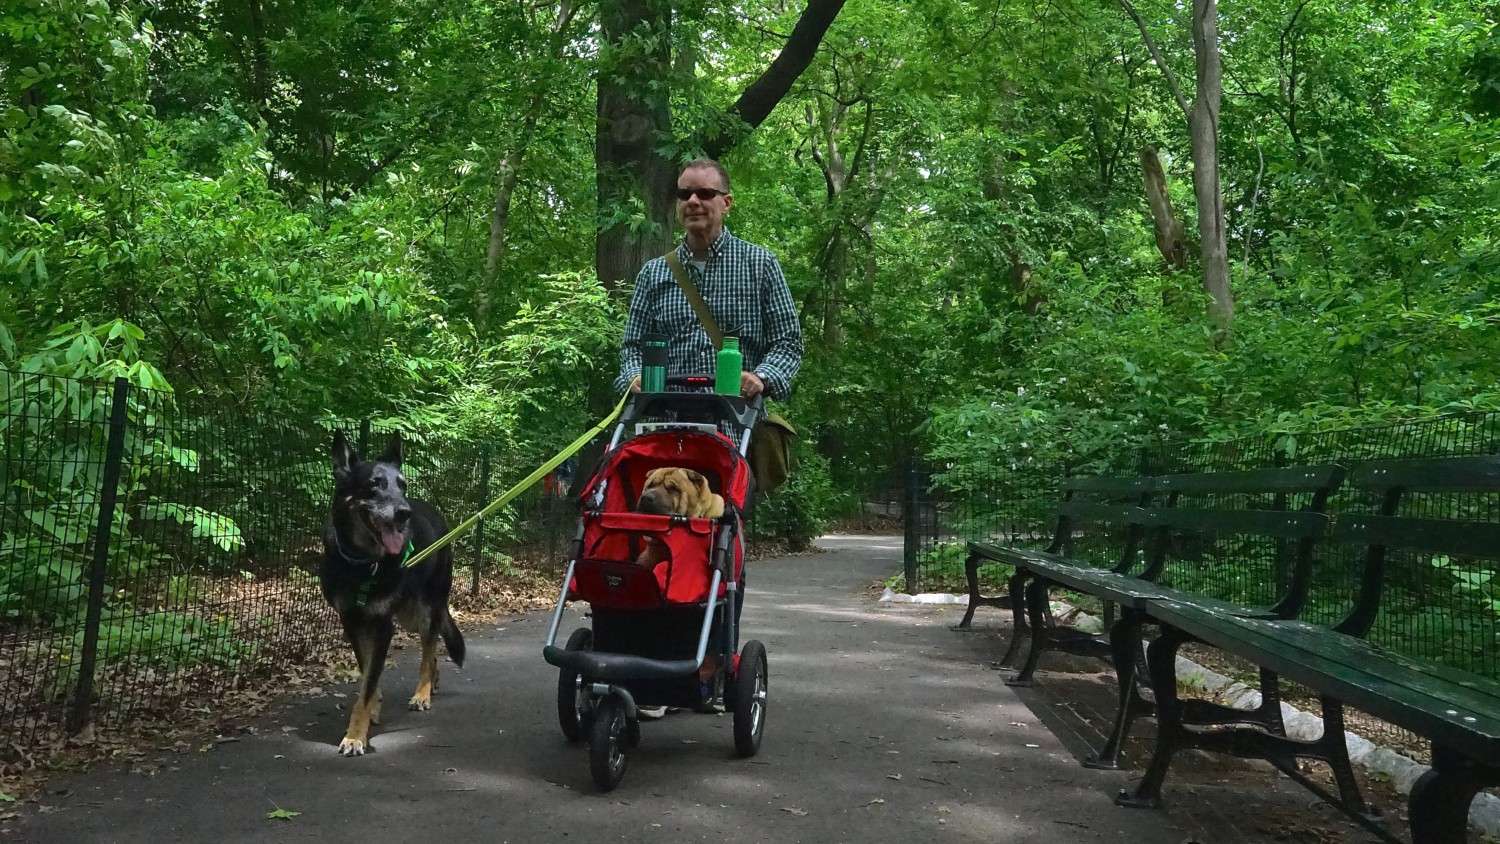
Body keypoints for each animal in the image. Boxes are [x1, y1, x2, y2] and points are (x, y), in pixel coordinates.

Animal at [313, 431, 459, 755]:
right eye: (374, 485)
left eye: (402, 484)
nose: (404, 513)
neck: (362, 563)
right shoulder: (352, 621)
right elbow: (367, 671)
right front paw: (373, 709)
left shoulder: (382, 626)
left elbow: (367, 686)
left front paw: (355, 735)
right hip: (408, 615)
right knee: (431, 655)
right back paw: (432, 683)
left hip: (425, 610)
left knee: (428, 650)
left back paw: (422, 693)